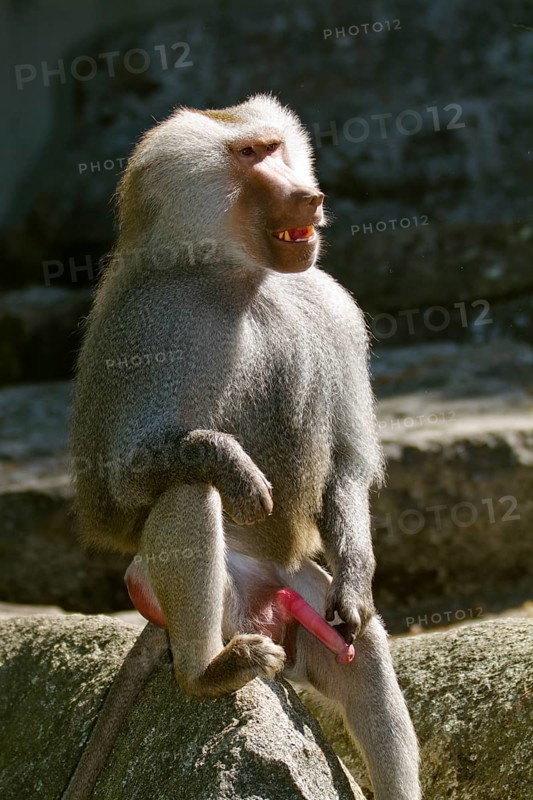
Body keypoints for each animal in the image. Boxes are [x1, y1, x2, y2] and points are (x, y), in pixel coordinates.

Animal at [67, 94, 420, 799]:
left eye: (276, 147)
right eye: (248, 155)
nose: (310, 196)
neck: (241, 276)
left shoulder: (335, 307)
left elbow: (348, 466)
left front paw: (358, 578)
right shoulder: (149, 322)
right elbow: (117, 487)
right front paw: (236, 466)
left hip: (300, 604)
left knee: (363, 654)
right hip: (185, 596)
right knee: (189, 489)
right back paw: (207, 672)